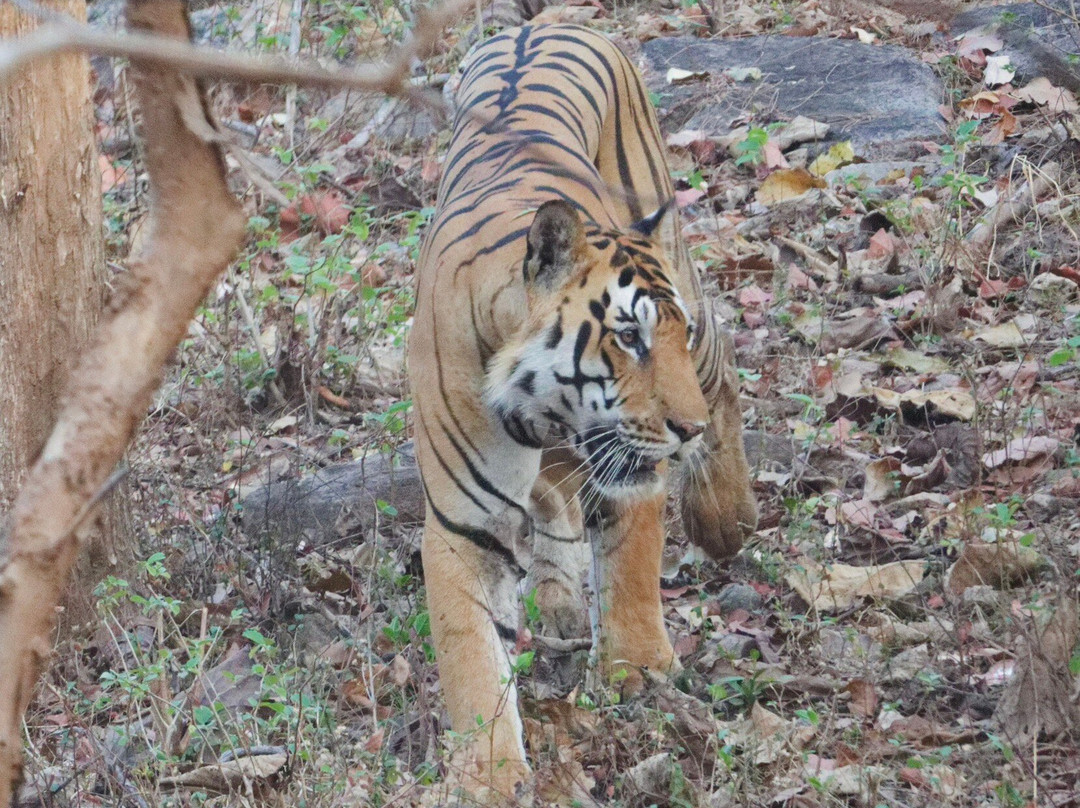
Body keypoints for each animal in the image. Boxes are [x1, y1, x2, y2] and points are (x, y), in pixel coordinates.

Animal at [407, 23, 758, 799]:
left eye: (667, 334)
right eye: (627, 337)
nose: (683, 430)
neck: (536, 410)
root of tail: (544, 22)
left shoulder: (633, 463)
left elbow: (632, 560)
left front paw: (638, 671)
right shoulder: (461, 526)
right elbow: (470, 657)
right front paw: (489, 776)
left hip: (682, 265)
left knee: (725, 369)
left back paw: (726, 519)